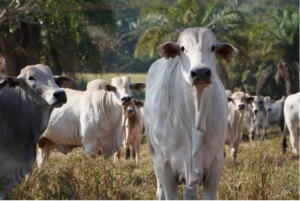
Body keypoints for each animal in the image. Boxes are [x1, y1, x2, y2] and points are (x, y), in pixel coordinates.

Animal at [144, 27, 239, 199]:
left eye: (213, 47)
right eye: (182, 48)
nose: (201, 72)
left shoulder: (216, 163)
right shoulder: (164, 166)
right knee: (160, 191)